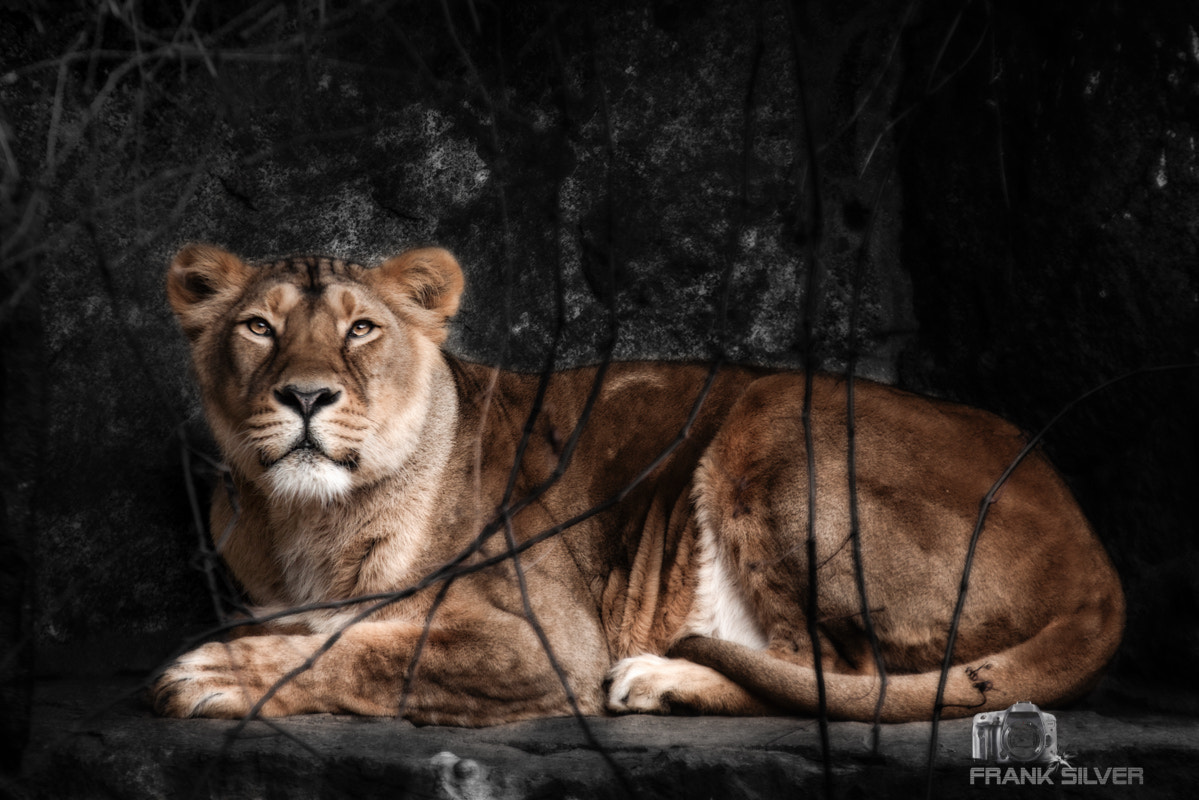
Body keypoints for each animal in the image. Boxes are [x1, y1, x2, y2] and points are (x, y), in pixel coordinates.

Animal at [153, 243, 1124, 725]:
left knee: (840, 677)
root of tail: (1095, 559)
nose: (306, 395)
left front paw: (222, 673)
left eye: (360, 329)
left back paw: (662, 679)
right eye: (256, 327)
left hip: (775, 410)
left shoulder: (544, 640)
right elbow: (328, 630)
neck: (308, 522)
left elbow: (362, 649)